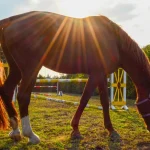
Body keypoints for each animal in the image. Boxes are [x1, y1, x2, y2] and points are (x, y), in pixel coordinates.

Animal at [0, 11, 150, 144]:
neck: (114, 41)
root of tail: (11, 20)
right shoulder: (96, 74)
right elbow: (84, 99)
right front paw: (76, 130)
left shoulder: (101, 75)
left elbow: (104, 102)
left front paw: (111, 130)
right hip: (31, 69)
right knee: (23, 96)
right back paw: (30, 135)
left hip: (16, 69)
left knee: (7, 91)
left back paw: (15, 132)